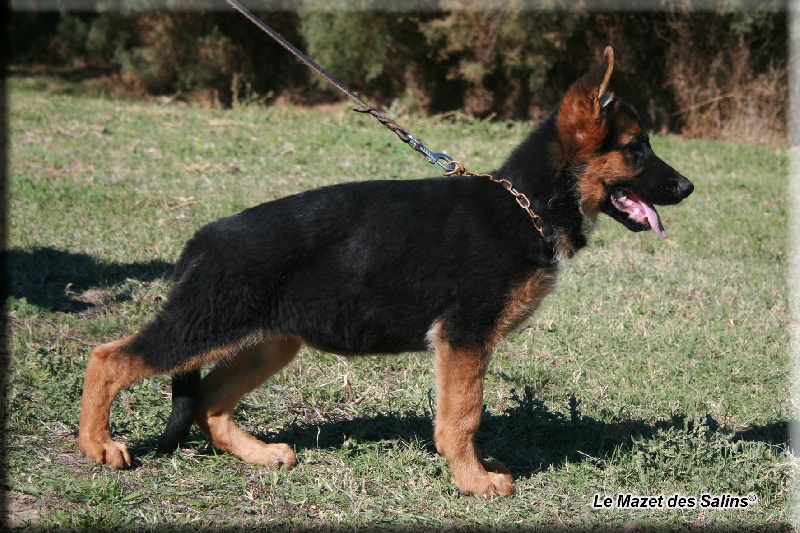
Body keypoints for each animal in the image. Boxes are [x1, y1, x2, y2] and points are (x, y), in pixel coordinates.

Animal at [79, 47, 692, 496]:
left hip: (270, 341)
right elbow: (463, 416)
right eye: (638, 149)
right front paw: (475, 482)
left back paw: (260, 454)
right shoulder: (464, 337)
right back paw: (97, 445)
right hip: (203, 327)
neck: (527, 204)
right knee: (110, 358)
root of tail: (201, 239)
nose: (688, 188)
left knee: (208, 399)